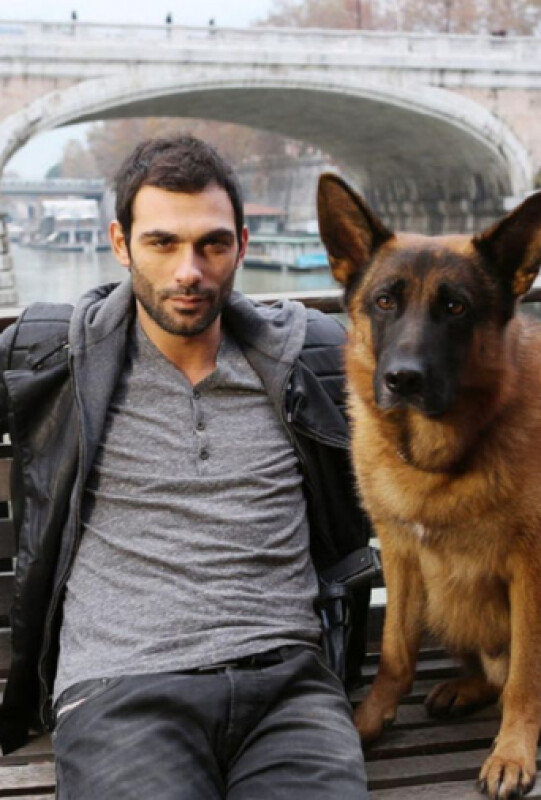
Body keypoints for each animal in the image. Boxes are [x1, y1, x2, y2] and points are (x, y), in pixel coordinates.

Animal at [317, 173, 541, 800]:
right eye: (384, 301)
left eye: (456, 307)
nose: (403, 380)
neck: (440, 458)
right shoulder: (400, 557)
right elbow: (396, 651)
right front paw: (369, 719)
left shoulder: (531, 573)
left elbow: (526, 676)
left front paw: (512, 752)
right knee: (487, 671)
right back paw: (463, 688)